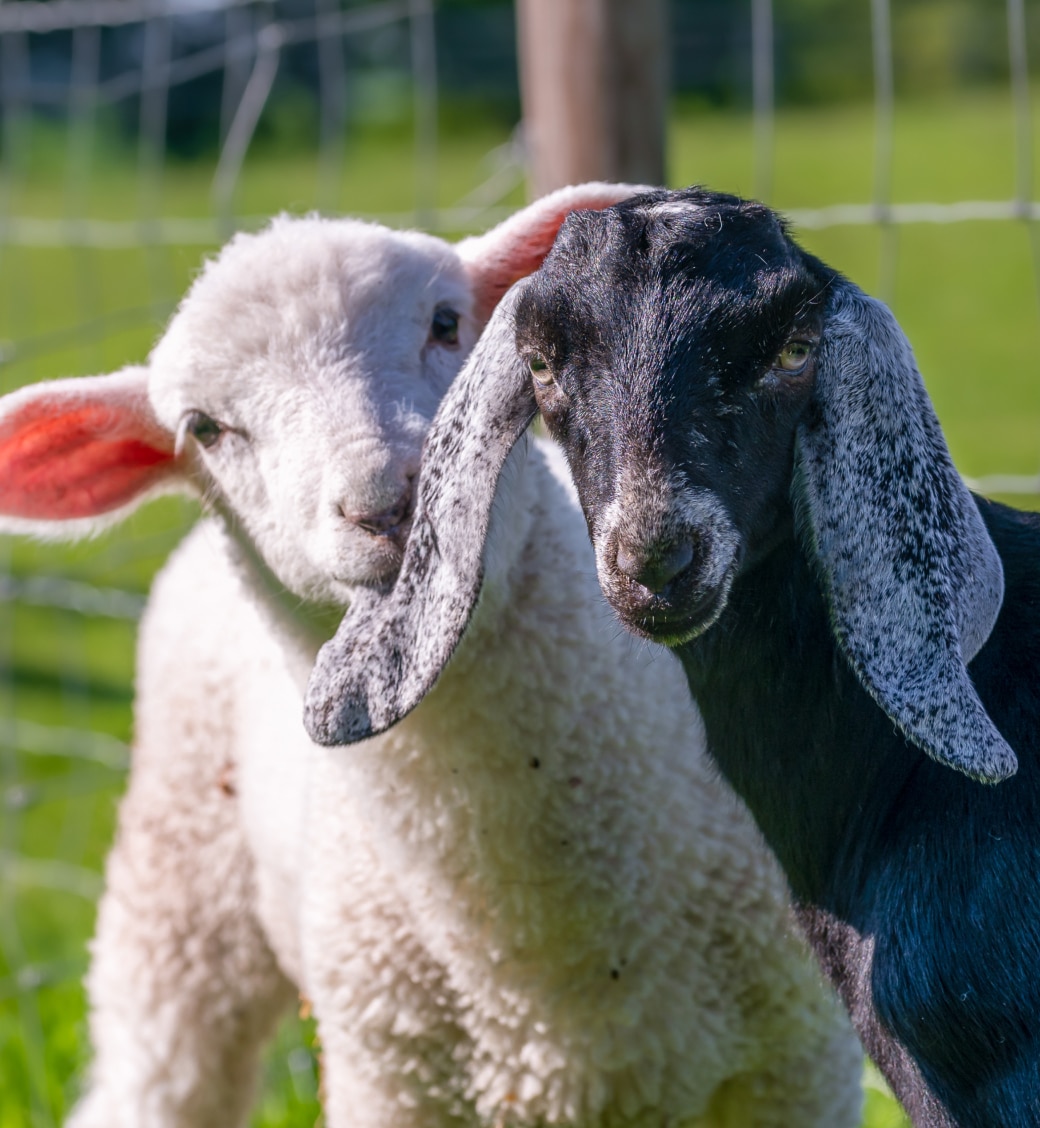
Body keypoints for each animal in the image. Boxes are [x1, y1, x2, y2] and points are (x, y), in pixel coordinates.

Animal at [0, 187, 857, 1128]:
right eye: (206, 428)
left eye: (448, 322)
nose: (391, 498)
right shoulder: (392, 1082)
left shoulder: (800, 1061)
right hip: (172, 887)